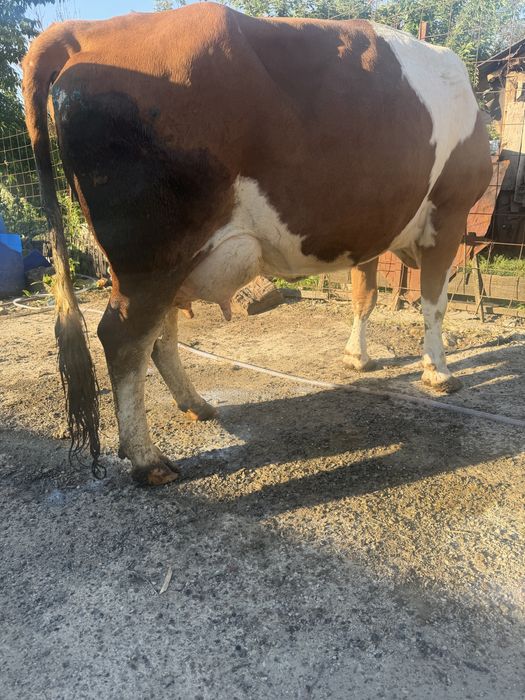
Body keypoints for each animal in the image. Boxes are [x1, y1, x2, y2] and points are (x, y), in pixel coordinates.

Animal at [22, 3, 492, 485]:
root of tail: (88, 30)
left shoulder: (371, 225)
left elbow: (365, 297)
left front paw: (357, 358)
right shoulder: (450, 212)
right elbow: (434, 303)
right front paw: (438, 372)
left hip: (171, 258)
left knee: (159, 334)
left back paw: (195, 404)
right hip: (152, 253)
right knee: (124, 338)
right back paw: (148, 459)